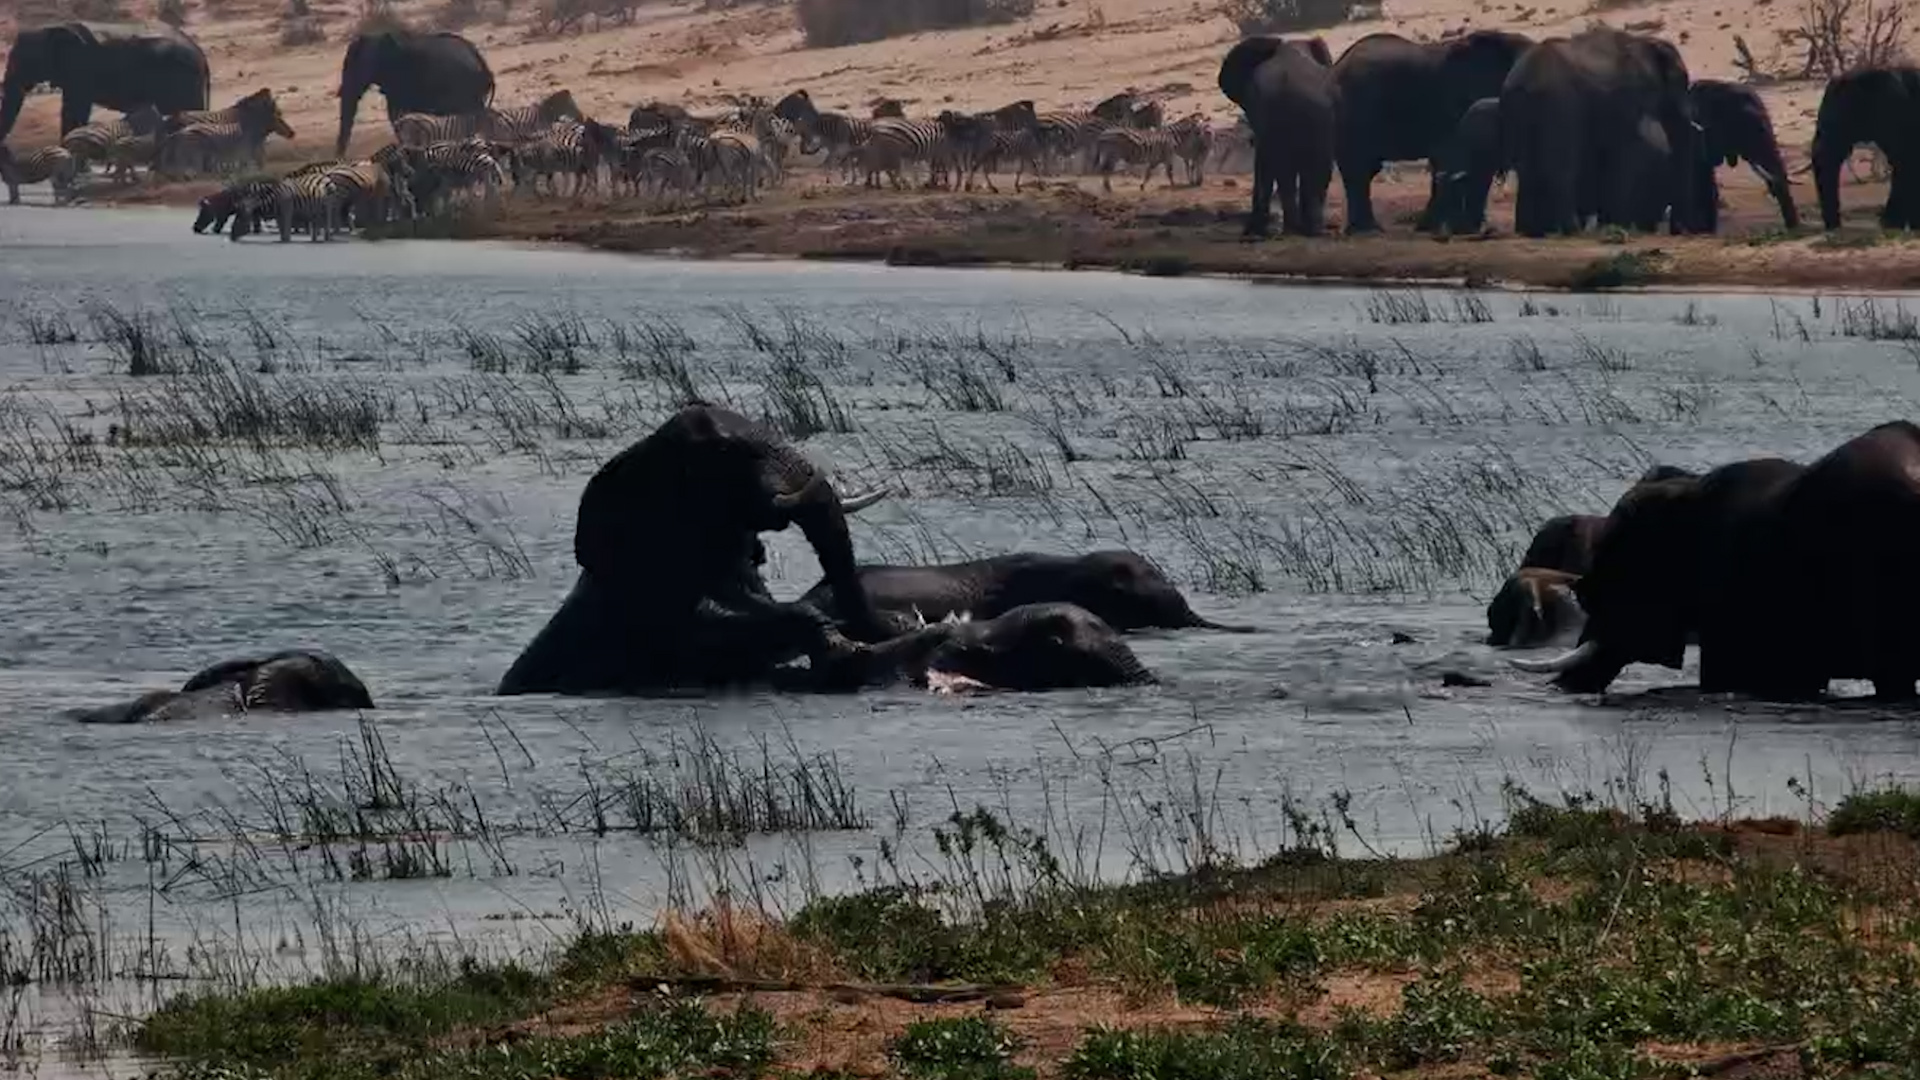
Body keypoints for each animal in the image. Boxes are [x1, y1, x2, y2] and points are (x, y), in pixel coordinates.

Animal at [0, 21, 209, 143]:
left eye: (23, 61)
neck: (48, 29)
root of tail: (202, 56)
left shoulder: (80, 67)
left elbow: (74, 110)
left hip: (180, 76)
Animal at [1500, 27, 1696, 238]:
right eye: (1683, 84)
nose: (1680, 230)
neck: (1647, 42)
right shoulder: (1632, 99)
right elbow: (1628, 149)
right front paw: (1615, 225)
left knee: (1527, 170)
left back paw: (1531, 231)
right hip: (1560, 106)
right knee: (1560, 169)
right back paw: (1573, 231)